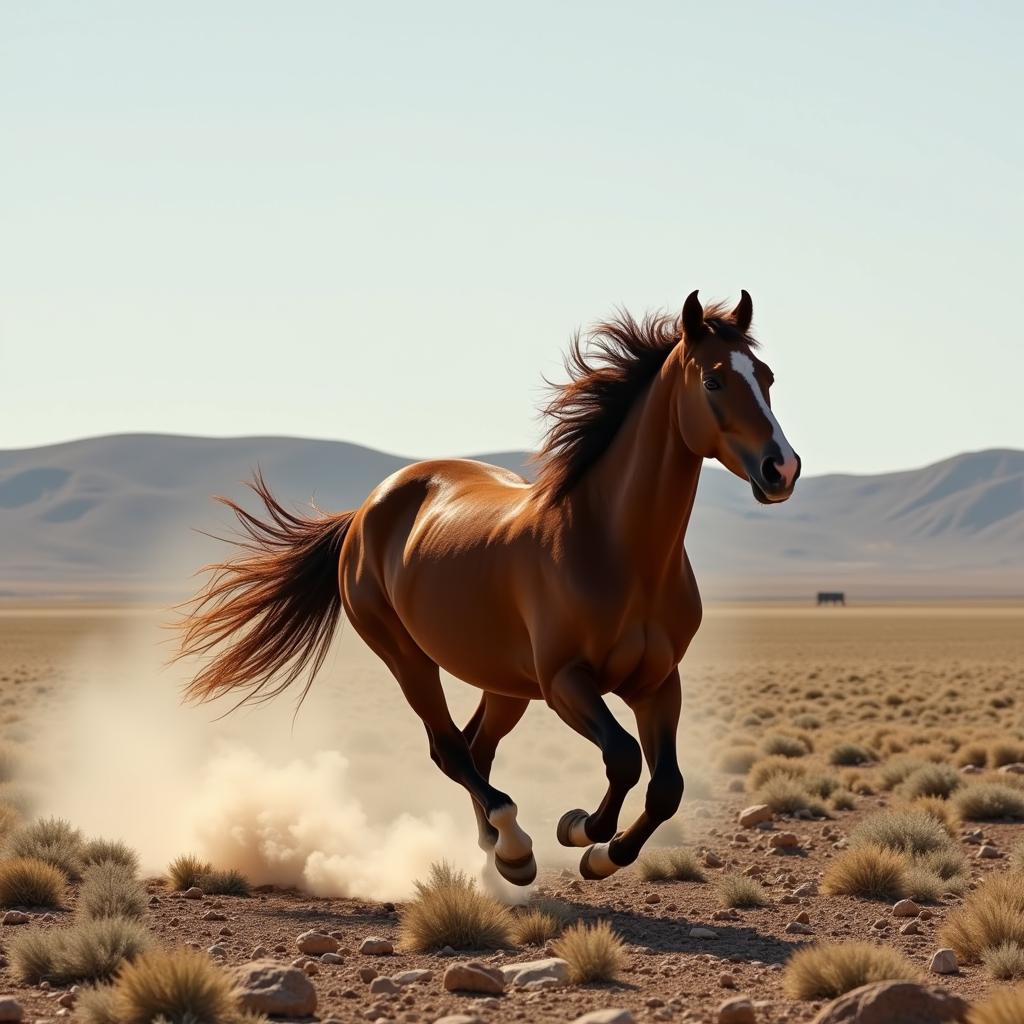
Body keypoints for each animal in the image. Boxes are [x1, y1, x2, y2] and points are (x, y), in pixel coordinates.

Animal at [176, 290, 798, 888]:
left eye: (768, 377)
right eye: (713, 379)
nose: (782, 469)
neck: (615, 550)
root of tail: (367, 509)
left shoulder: (658, 682)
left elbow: (666, 786)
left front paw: (603, 856)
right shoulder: (565, 680)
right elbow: (622, 757)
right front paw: (579, 829)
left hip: (505, 683)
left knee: (478, 747)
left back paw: (497, 851)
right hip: (408, 657)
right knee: (450, 748)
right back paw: (514, 845)